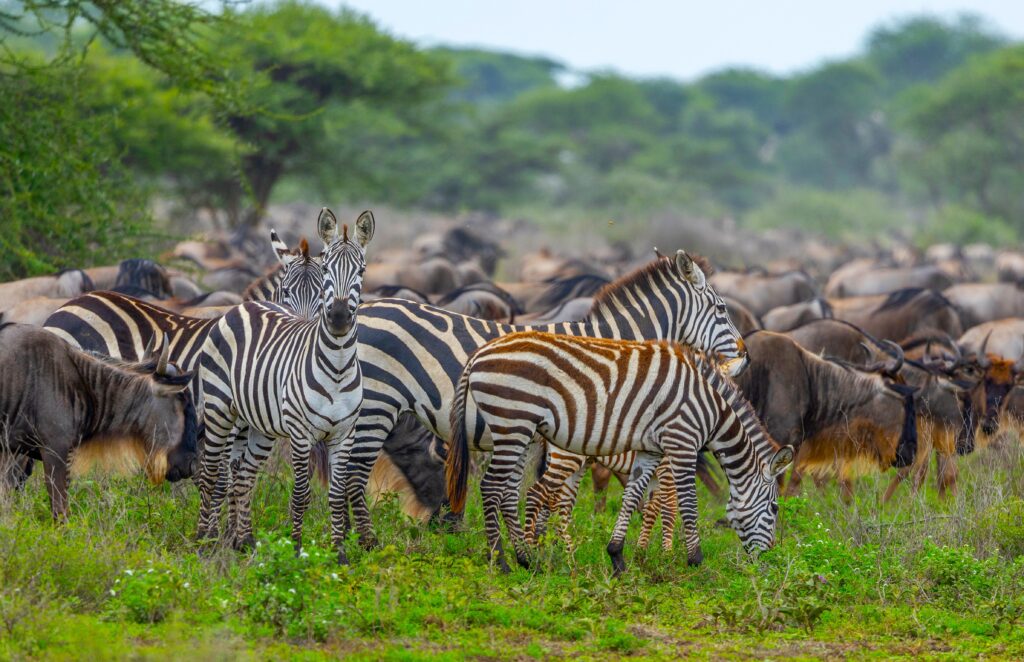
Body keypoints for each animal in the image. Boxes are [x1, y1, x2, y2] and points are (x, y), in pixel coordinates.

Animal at [196, 208, 373, 564]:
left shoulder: (344, 435)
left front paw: (339, 554)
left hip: (258, 424)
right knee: (212, 474)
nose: (338, 318)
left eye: (361, 270)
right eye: (328, 269)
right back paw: (205, 541)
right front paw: (296, 550)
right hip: (219, 409)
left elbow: (336, 494)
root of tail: (243, 305)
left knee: (244, 476)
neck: (337, 367)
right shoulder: (302, 435)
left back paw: (244, 541)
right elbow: (301, 493)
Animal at [343, 250, 748, 547]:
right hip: (377, 404)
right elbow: (552, 493)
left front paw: (537, 545)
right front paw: (541, 550)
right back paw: (364, 543)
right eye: (722, 310)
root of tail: (367, 308)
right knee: (354, 472)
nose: (744, 355)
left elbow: (542, 492)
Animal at [446, 331, 794, 574]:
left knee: (510, 492)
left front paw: (618, 557)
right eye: (774, 508)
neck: (711, 409)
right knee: (493, 487)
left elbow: (633, 498)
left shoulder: (650, 450)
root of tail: (479, 353)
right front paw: (695, 562)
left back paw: (527, 558)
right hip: (514, 422)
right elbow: (686, 505)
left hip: (520, 431)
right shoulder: (681, 442)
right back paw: (502, 562)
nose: (767, 559)